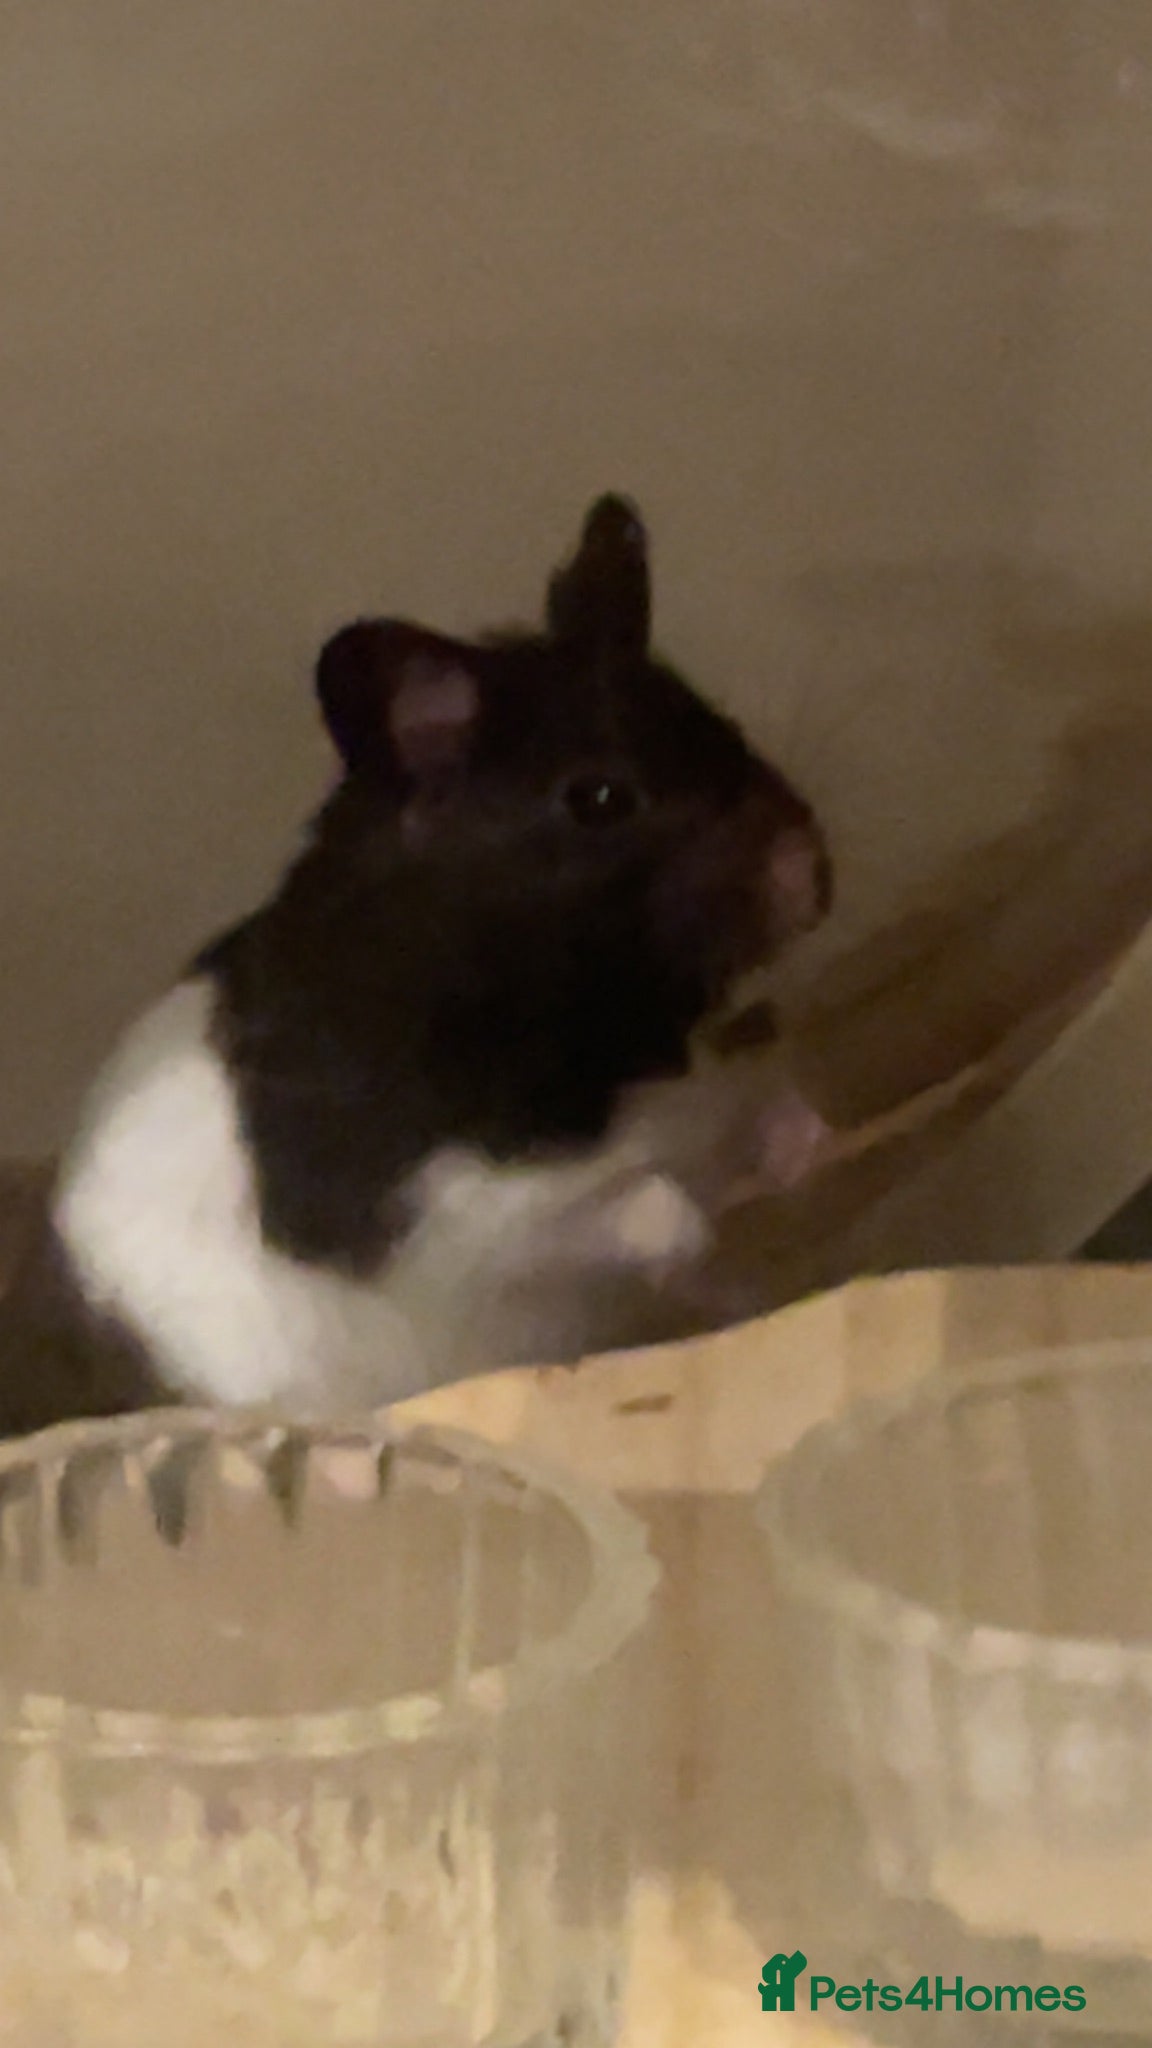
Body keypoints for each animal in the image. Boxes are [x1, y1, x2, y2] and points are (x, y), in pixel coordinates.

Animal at [0, 495, 831, 1434]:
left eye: (717, 720)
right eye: (599, 797)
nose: (812, 876)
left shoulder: (707, 1093)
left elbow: (748, 1112)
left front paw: (805, 1148)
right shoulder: (454, 1216)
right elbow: (613, 1215)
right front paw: (695, 1228)